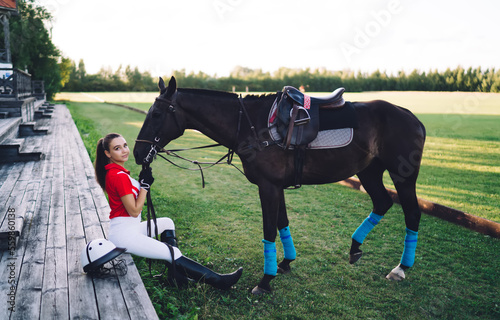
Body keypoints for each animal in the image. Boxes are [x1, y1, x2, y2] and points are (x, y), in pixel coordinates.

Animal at [133, 76, 426, 294]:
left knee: (412, 212)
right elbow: (282, 222)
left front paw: (265, 280)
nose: (137, 153)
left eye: (156, 113)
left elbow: (269, 230)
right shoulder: (276, 186)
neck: (252, 126)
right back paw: (355, 247)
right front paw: (285, 262)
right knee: (383, 202)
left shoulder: (268, 186)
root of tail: (411, 115)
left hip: (403, 174)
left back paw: (401, 268)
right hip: (368, 171)